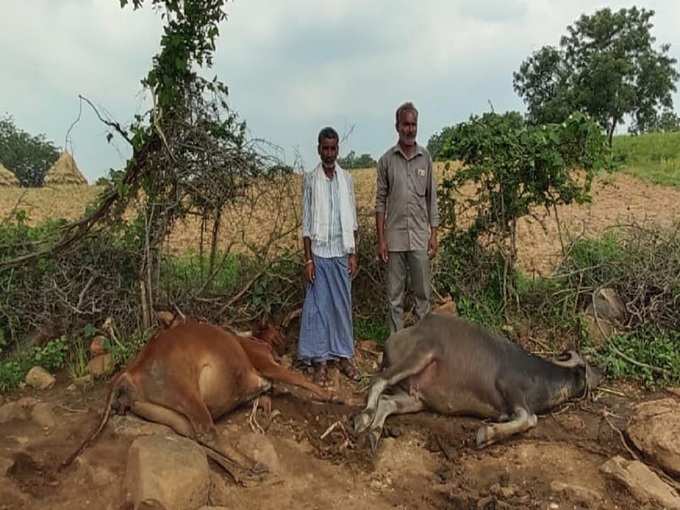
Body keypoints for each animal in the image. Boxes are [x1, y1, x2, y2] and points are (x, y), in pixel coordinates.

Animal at [65, 316, 336, 480]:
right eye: (277, 329)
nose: (288, 341)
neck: (248, 339)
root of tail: (130, 371)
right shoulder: (265, 364)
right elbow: (298, 380)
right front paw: (330, 396)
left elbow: (267, 397)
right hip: (188, 394)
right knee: (207, 432)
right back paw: (250, 463)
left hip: (166, 413)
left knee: (195, 438)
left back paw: (236, 470)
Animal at [354, 310, 604, 450]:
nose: (602, 373)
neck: (541, 377)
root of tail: (398, 336)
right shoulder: (510, 389)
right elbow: (530, 419)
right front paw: (486, 434)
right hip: (421, 353)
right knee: (378, 380)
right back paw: (363, 419)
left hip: (416, 398)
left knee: (387, 401)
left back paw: (374, 436)